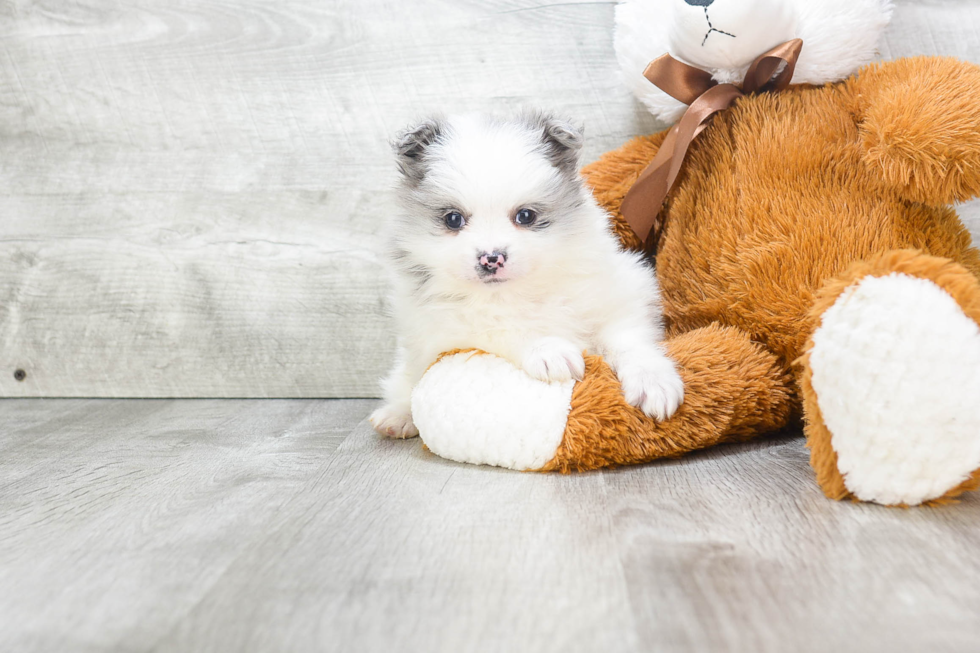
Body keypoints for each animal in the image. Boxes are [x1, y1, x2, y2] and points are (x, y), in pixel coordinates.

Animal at [372, 111, 684, 438]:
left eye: (525, 216)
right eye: (453, 219)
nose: (491, 258)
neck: (517, 290)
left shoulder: (620, 295)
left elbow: (628, 340)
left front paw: (653, 381)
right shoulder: (444, 328)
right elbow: (501, 327)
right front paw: (549, 350)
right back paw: (397, 415)